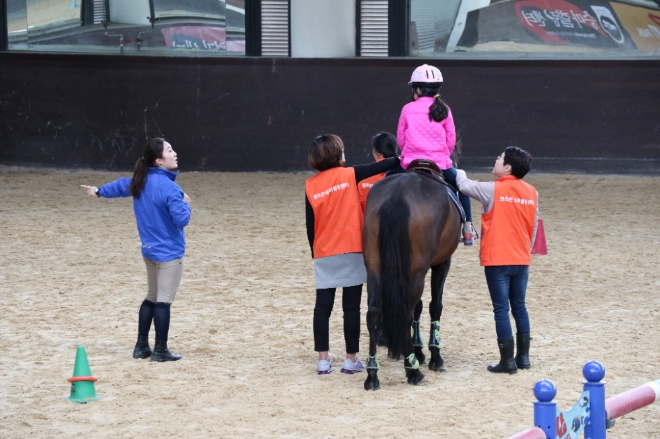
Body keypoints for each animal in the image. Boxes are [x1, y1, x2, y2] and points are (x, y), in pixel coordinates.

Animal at [360, 162, 458, 392]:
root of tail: (397, 196)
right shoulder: (441, 263)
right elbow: (434, 306)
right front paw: (434, 356)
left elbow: (419, 308)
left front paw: (419, 351)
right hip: (416, 271)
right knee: (406, 312)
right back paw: (413, 371)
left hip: (375, 268)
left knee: (373, 314)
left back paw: (372, 374)